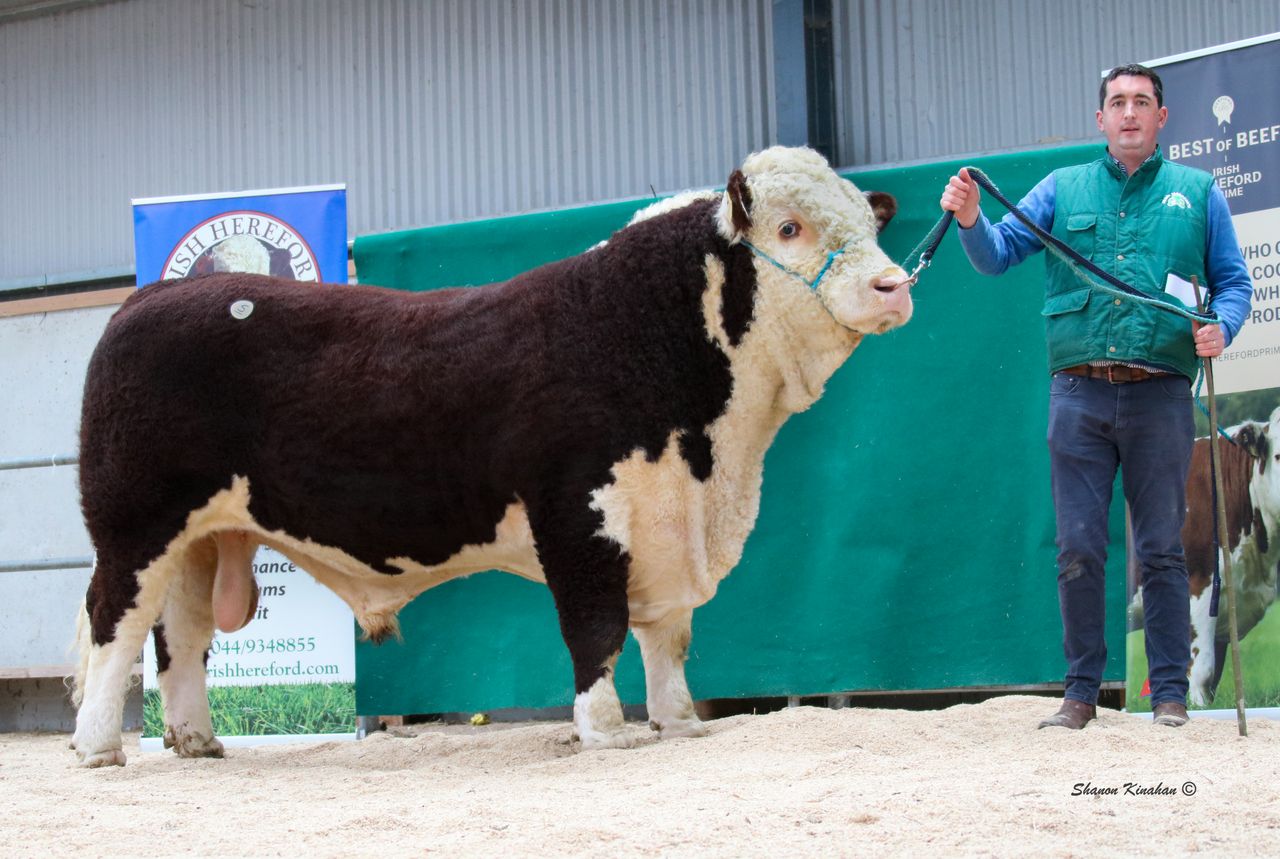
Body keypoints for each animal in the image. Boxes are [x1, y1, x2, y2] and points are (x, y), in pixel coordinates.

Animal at [70, 146, 914, 767]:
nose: (894, 284)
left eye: (866, 224)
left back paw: (197, 741)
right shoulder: (578, 514)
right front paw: (605, 730)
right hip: (135, 523)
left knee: (180, 633)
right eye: (790, 227)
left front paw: (678, 722)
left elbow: (667, 637)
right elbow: (596, 627)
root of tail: (150, 297)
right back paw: (97, 747)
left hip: (202, 535)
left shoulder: (667, 522)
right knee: (117, 622)